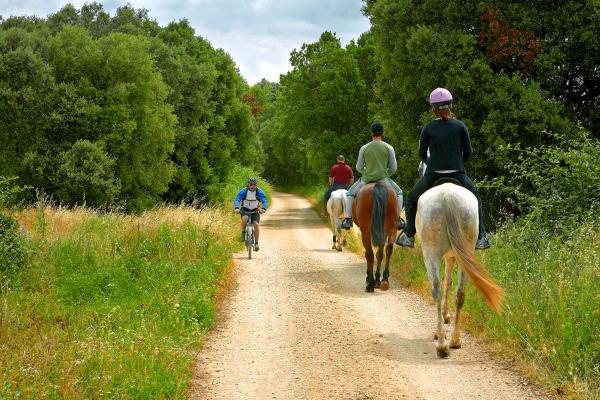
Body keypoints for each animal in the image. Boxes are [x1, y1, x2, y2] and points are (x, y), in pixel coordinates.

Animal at [418, 183, 506, 358]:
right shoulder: (452, 256)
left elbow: (446, 282)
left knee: (437, 290)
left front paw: (444, 320)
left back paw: (441, 345)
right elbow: (449, 282)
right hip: (465, 251)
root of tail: (448, 197)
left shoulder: (448, 256)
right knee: (460, 294)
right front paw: (446, 317)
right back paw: (455, 341)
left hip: (431, 254)